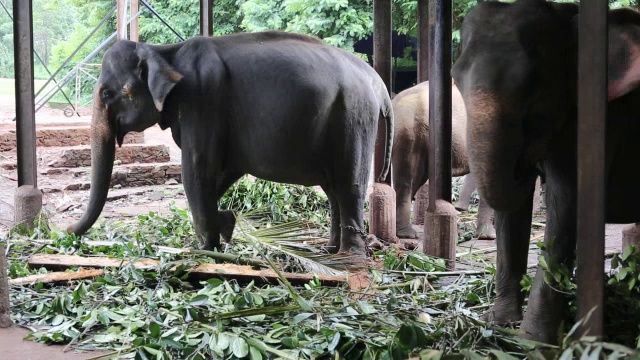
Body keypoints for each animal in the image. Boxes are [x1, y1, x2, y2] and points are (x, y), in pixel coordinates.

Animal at [67, 31, 392, 256]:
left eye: (107, 94)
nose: (68, 233)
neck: (164, 52)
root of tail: (377, 80)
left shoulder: (201, 100)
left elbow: (196, 168)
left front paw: (204, 248)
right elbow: (222, 172)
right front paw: (225, 226)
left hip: (353, 114)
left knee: (349, 185)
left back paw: (349, 257)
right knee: (333, 189)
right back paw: (329, 249)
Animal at [452, 0, 640, 344]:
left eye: (533, 87)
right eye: (455, 79)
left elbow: (565, 204)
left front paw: (533, 338)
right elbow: (513, 215)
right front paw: (498, 323)